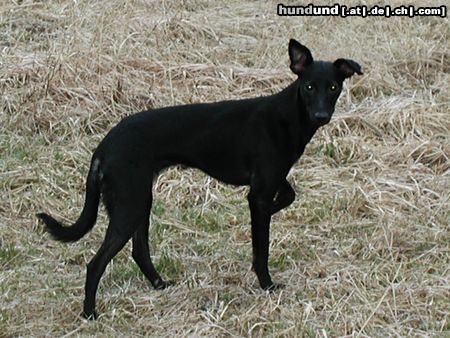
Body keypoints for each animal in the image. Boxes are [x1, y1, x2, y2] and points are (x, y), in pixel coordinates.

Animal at [37, 39, 362, 320]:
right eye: (309, 87)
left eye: (333, 87)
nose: (321, 116)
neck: (287, 117)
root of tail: (105, 146)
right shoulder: (259, 192)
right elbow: (262, 246)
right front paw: (267, 285)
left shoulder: (270, 181)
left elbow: (288, 196)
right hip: (131, 204)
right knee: (95, 264)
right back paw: (90, 313)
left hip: (140, 200)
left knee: (139, 251)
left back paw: (160, 285)